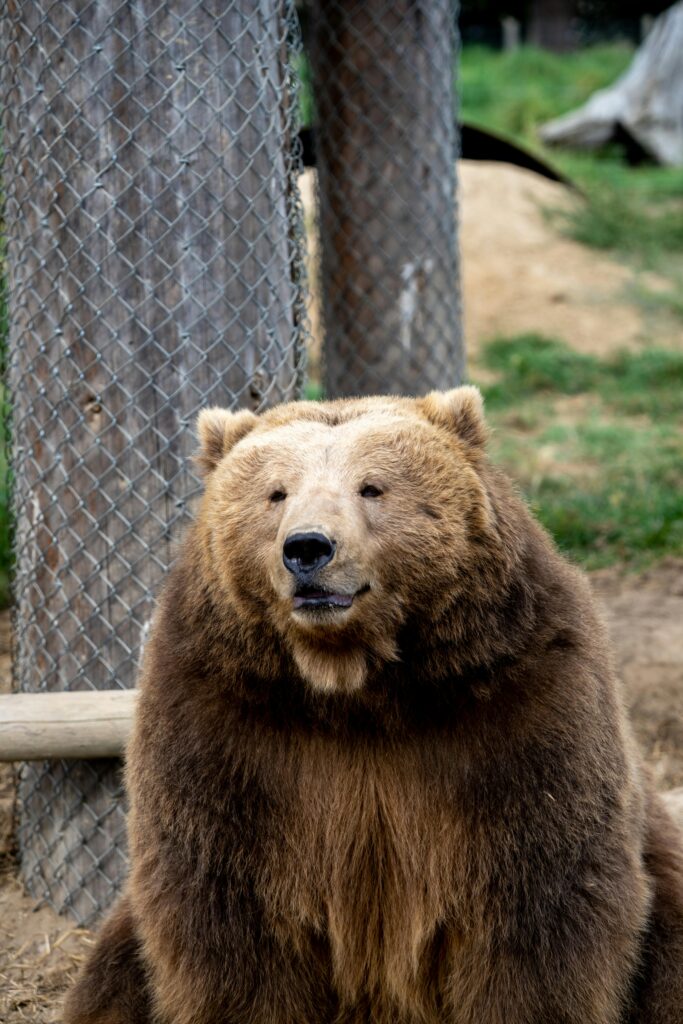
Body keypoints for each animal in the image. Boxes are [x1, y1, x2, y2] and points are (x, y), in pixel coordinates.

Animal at [64, 388, 683, 1024]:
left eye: (372, 487)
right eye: (276, 492)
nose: (307, 548)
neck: (357, 691)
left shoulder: (520, 708)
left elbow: (539, 909)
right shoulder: (226, 724)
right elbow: (230, 920)